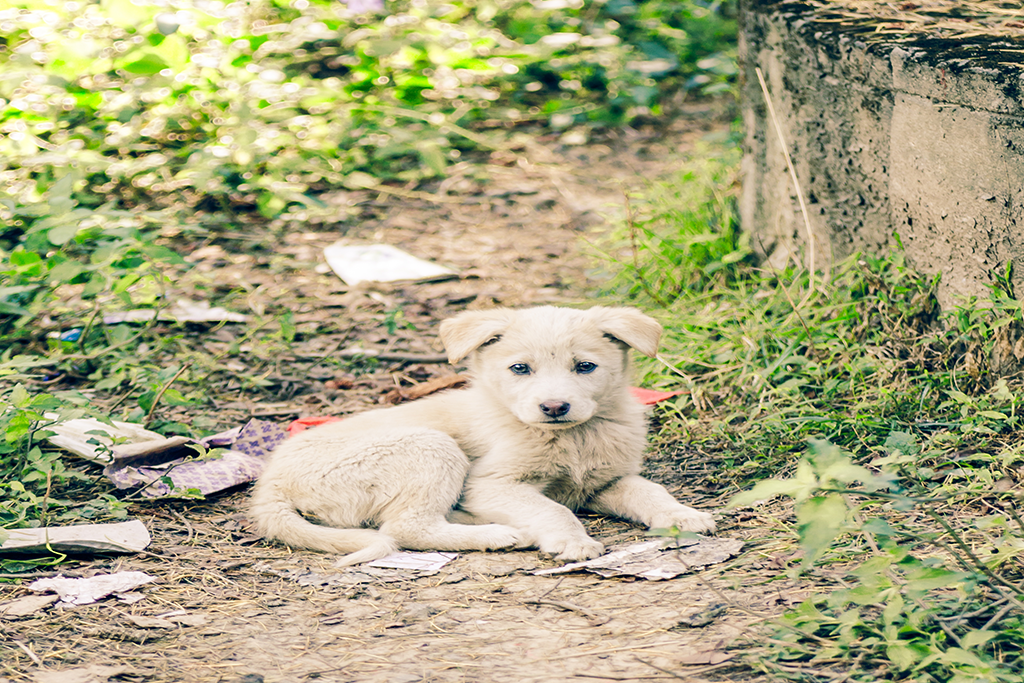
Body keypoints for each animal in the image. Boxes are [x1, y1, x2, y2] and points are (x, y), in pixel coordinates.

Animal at [249, 307, 712, 565]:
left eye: (585, 367)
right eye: (520, 369)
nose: (554, 407)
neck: (575, 437)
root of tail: (270, 484)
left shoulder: (604, 482)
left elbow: (650, 491)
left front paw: (682, 515)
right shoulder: (491, 483)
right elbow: (552, 509)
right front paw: (571, 541)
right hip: (430, 447)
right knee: (406, 527)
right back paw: (496, 534)